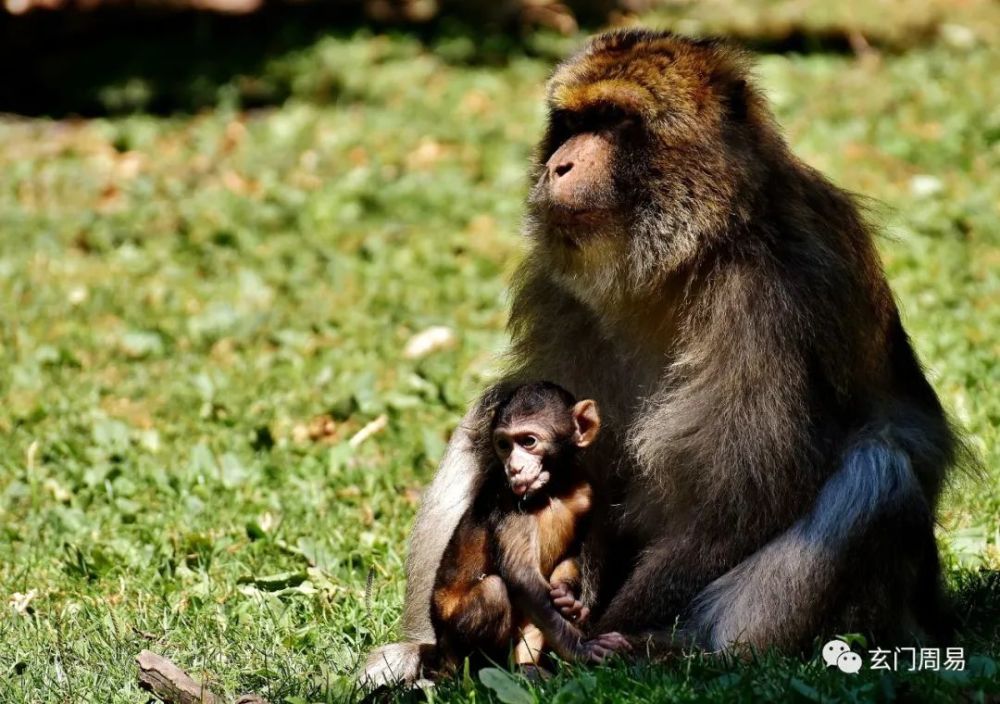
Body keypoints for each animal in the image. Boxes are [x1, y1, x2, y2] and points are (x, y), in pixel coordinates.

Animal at [428, 382, 628, 672]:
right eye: (503, 445)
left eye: (528, 442)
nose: (515, 468)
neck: (554, 490)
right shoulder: (508, 499)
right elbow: (520, 574)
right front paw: (583, 647)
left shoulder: (586, 492)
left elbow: (573, 555)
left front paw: (568, 599)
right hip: (452, 645)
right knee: (494, 592)